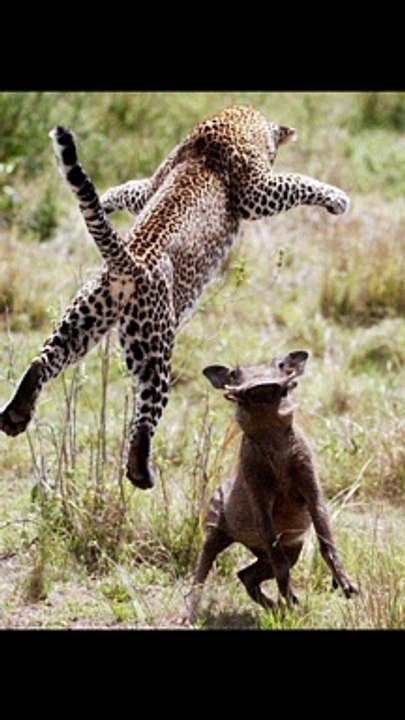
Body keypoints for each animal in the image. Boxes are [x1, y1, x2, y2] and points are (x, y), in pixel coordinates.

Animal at [0, 104, 349, 490]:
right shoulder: (256, 192)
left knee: (44, 360)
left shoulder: (153, 184)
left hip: (84, 319)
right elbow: (297, 181)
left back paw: (16, 414)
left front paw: (105, 200)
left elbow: (132, 189)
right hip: (154, 343)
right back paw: (140, 471)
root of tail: (129, 261)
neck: (229, 123)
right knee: (146, 409)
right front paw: (337, 199)